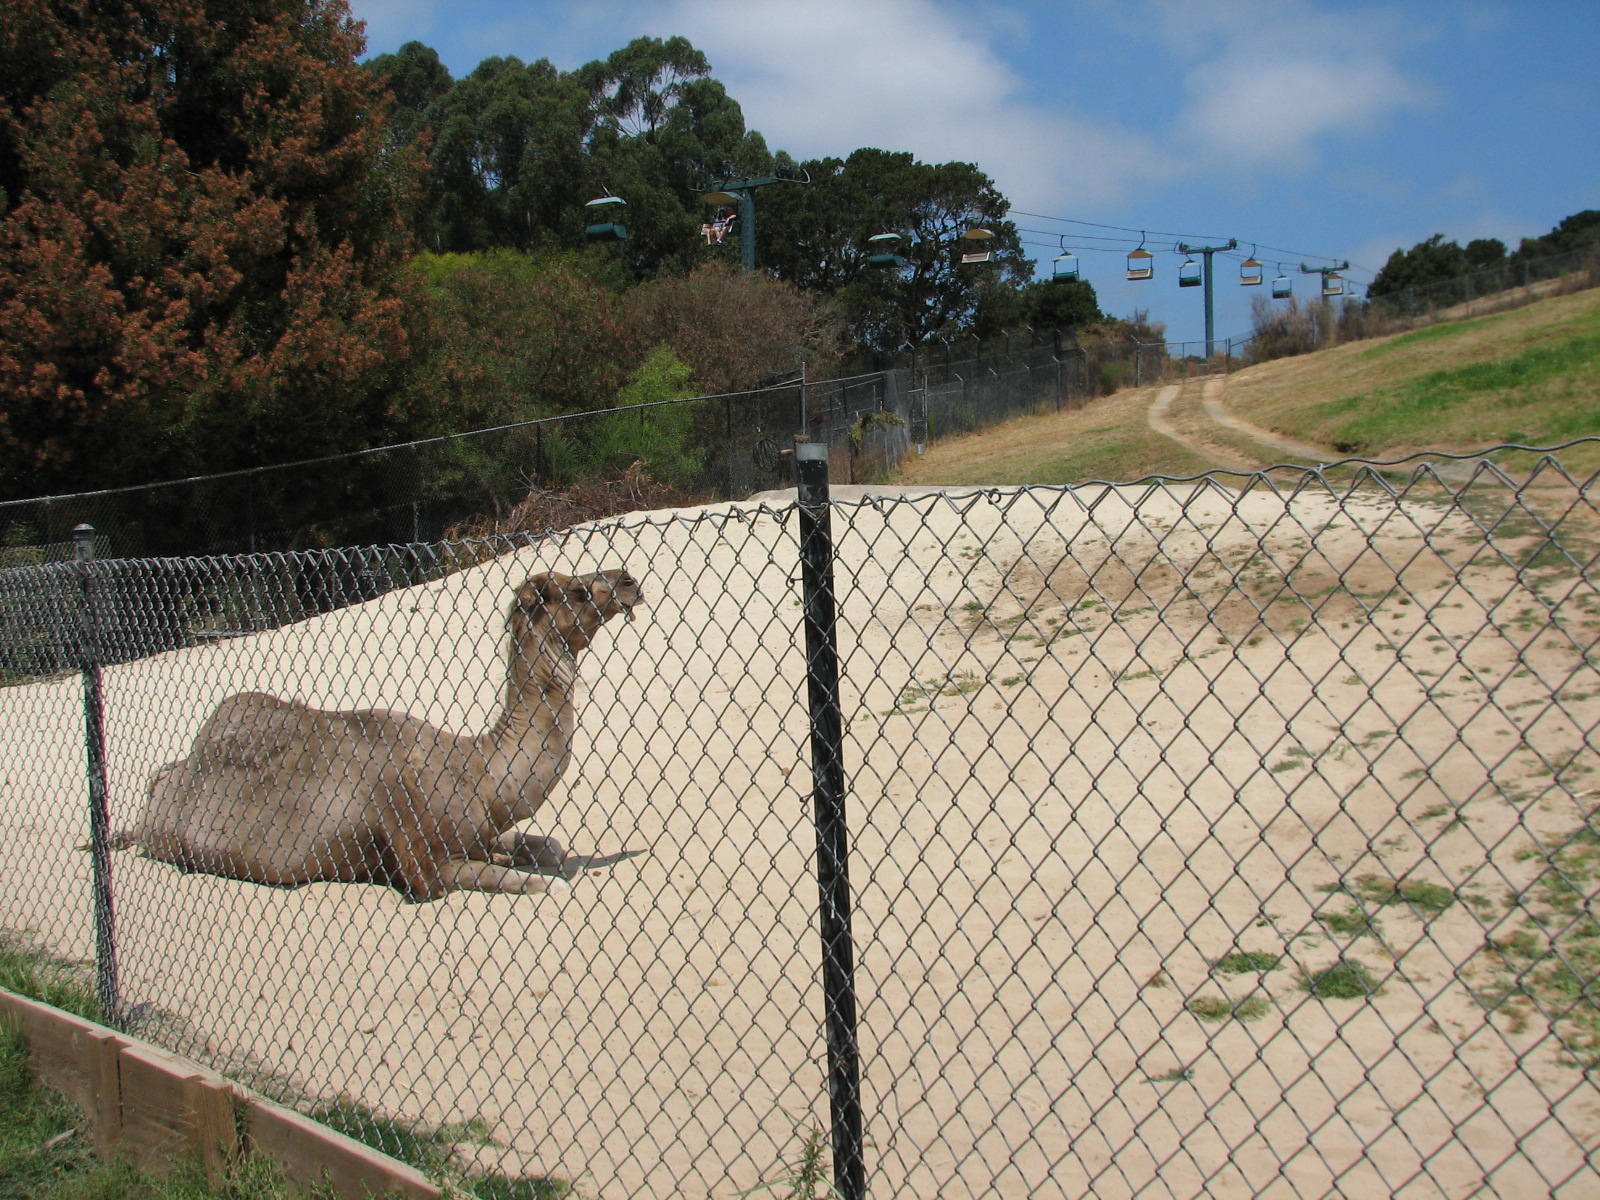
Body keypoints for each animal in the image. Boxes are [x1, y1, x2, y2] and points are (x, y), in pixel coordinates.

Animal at [107, 568, 643, 902]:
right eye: (576, 591)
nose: (629, 580)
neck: (481, 773)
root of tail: (155, 795)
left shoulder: (484, 828)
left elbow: (545, 846)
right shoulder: (424, 863)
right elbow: (504, 878)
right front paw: (548, 884)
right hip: (170, 838)